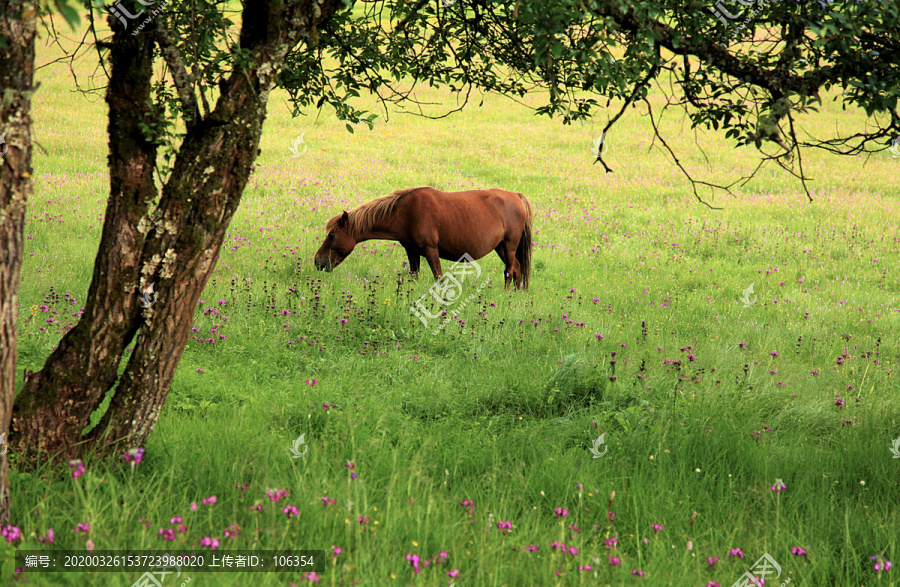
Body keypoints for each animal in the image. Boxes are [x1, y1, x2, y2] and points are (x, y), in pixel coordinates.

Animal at [312, 187, 532, 290]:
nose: (317, 262)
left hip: (509, 246)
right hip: (501, 247)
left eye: (332, 235)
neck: (406, 212)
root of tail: (516, 196)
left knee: (509, 272)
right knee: (517, 270)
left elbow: (439, 279)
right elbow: (414, 275)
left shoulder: (430, 250)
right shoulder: (412, 251)